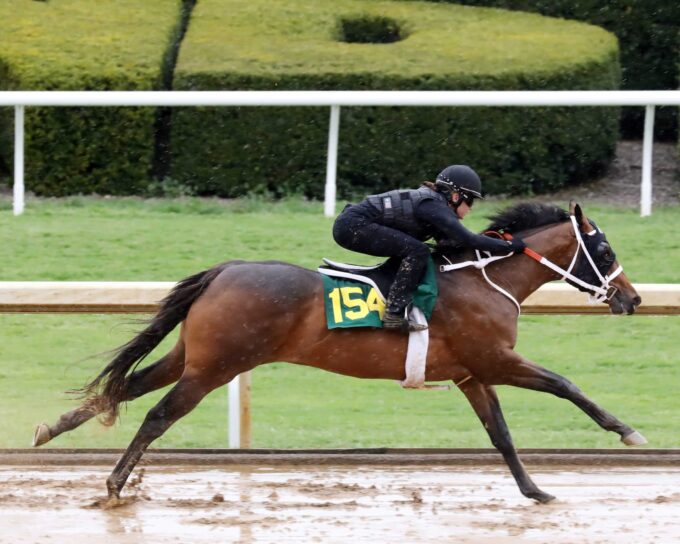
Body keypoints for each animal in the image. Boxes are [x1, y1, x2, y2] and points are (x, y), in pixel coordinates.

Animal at [33, 202, 644, 504]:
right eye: (605, 248)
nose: (632, 298)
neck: (484, 278)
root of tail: (225, 270)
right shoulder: (495, 361)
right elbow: (566, 385)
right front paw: (627, 431)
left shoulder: (473, 373)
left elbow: (502, 436)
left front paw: (535, 490)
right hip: (216, 366)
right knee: (158, 414)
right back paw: (115, 485)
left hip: (195, 358)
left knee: (128, 386)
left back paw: (50, 428)